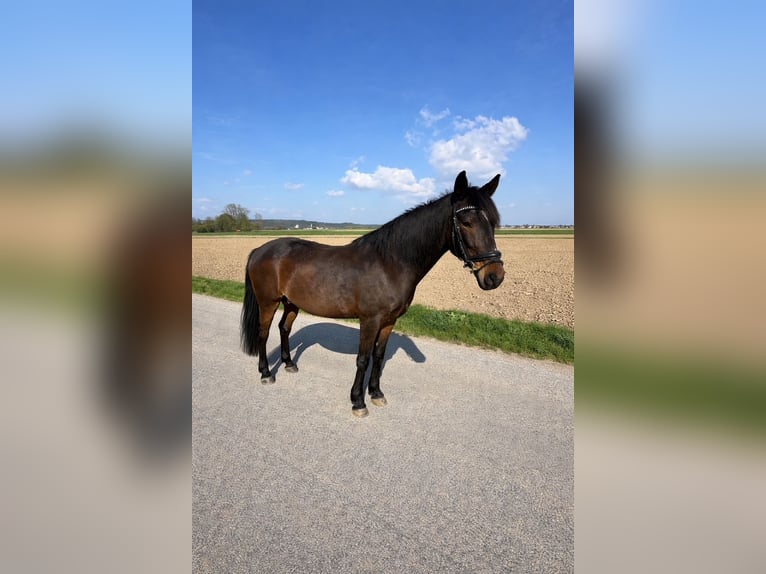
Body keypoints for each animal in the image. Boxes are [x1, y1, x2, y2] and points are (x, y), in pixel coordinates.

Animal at [241, 170, 505, 417]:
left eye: (493, 223)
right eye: (466, 222)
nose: (495, 276)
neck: (390, 263)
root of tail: (259, 250)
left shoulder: (389, 321)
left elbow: (378, 355)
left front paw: (376, 393)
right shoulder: (370, 320)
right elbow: (363, 358)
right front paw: (358, 401)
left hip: (291, 302)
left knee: (284, 328)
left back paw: (289, 364)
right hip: (268, 302)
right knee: (264, 333)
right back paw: (266, 373)